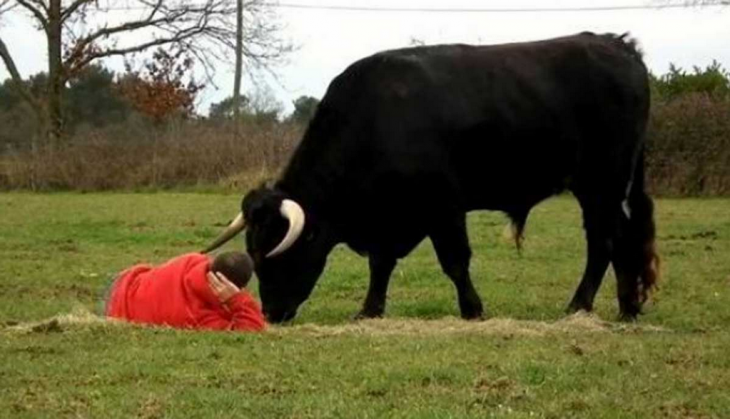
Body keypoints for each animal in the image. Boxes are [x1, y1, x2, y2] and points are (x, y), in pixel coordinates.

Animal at [202, 32, 656, 324]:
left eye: (274, 255)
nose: (271, 314)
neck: (373, 119)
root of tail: (616, 44)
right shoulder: (390, 219)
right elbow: (381, 265)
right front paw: (370, 309)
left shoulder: (444, 207)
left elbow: (454, 261)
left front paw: (472, 309)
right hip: (609, 188)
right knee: (621, 241)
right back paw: (627, 308)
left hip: (601, 184)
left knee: (604, 243)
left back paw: (581, 306)